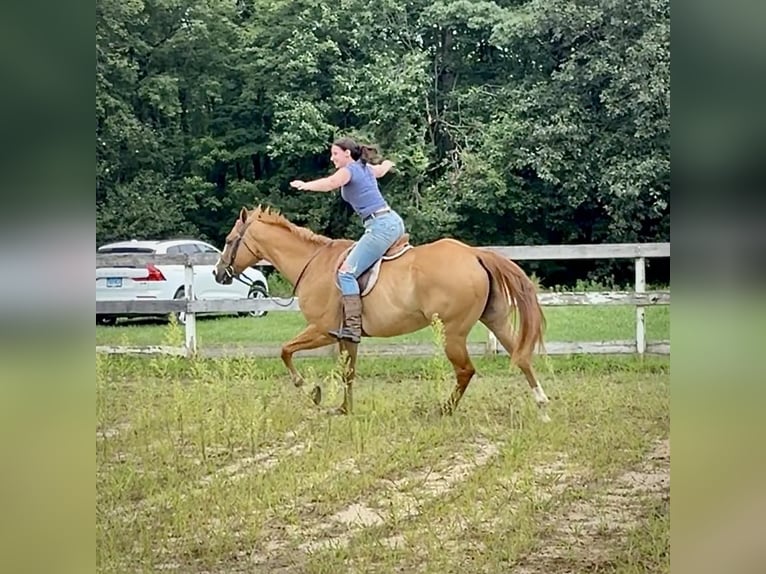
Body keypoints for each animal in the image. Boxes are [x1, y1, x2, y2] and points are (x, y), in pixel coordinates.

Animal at [214, 208, 552, 424]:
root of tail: (474, 253)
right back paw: (542, 406)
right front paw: (343, 409)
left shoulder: (321, 329)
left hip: (452, 333)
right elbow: (348, 372)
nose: (219, 272)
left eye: (230, 241)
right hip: (496, 320)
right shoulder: (346, 336)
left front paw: (312, 391)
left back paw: (443, 410)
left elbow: (285, 351)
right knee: (521, 357)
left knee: (465, 371)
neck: (312, 263)